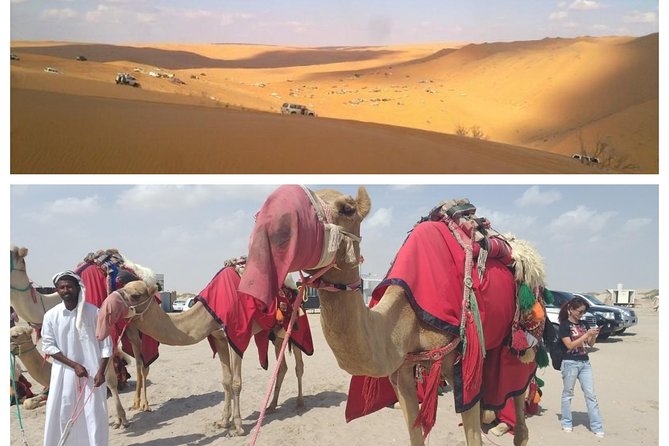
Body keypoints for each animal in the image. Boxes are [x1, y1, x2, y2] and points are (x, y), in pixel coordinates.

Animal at [98, 265, 310, 436]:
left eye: (135, 295)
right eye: (120, 288)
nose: (106, 306)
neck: (206, 313)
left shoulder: (236, 337)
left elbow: (236, 383)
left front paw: (238, 427)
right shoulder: (219, 338)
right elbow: (226, 381)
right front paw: (223, 421)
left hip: (294, 326)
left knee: (299, 365)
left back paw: (299, 403)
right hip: (275, 333)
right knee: (282, 366)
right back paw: (272, 405)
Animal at [240, 186, 547, 446]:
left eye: (347, 208)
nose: (276, 219)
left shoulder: (462, 363)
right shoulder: (402, 373)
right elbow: (415, 434)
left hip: (518, 344)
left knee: (519, 412)